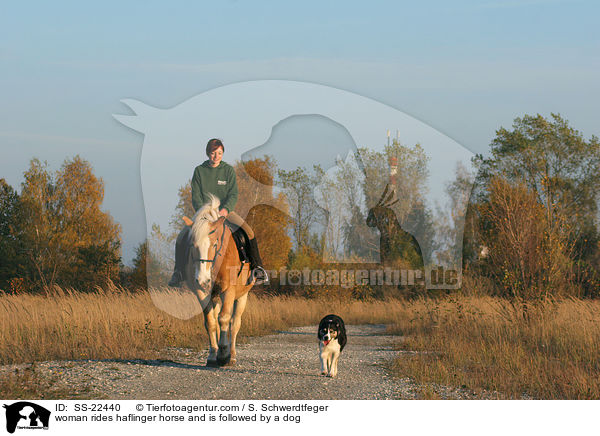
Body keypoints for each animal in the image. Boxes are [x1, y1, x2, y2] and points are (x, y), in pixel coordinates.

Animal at [185, 194, 255, 364]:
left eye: (215, 244)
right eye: (192, 245)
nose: (203, 279)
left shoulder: (229, 290)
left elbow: (224, 319)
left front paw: (223, 354)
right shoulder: (201, 292)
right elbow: (210, 322)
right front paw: (212, 355)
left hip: (242, 296)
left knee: (235, 323)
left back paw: (232, 355)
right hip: (215, 296)